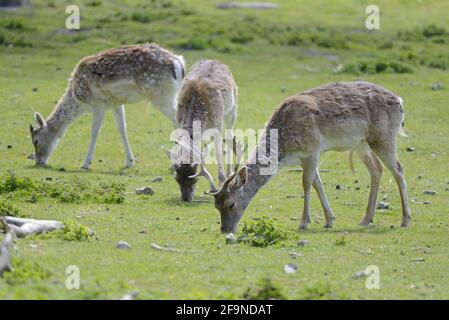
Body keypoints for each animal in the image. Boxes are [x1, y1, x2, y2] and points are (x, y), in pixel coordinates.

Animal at [29, 43, 184, 169]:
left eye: (36, 141)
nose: (39, 162)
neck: (78, 100)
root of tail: (179, 63)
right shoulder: (116, 103)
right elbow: (122, 128)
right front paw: (129, 161)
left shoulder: (99, 104)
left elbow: (95, 131)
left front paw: (85, 163)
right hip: (170, 95)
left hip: (160, 96)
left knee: (179, 121)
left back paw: (176, 164)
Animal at [162, 58, 238, 201]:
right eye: (177, 179)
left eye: (195, 180)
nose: (186, 198)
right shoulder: (178, 123)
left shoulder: (217, 126)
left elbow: (219, 156)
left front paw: (221, 185)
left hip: (232, 110)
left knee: (230, 138)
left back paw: (230, 173)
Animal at [192, 80, 410, 232]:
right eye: (216, 206)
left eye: (231, 204)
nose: (224, 230)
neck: (284, 143)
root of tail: (400, 101)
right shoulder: (304, 158)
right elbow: (317, 183)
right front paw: (329, 220)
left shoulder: (312, 150)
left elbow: (306, 184)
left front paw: (304, 222)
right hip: (361, 143)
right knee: (377, 169)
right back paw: (366, 219)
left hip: (383, 136)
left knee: (398, 169)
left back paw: (405, 220)